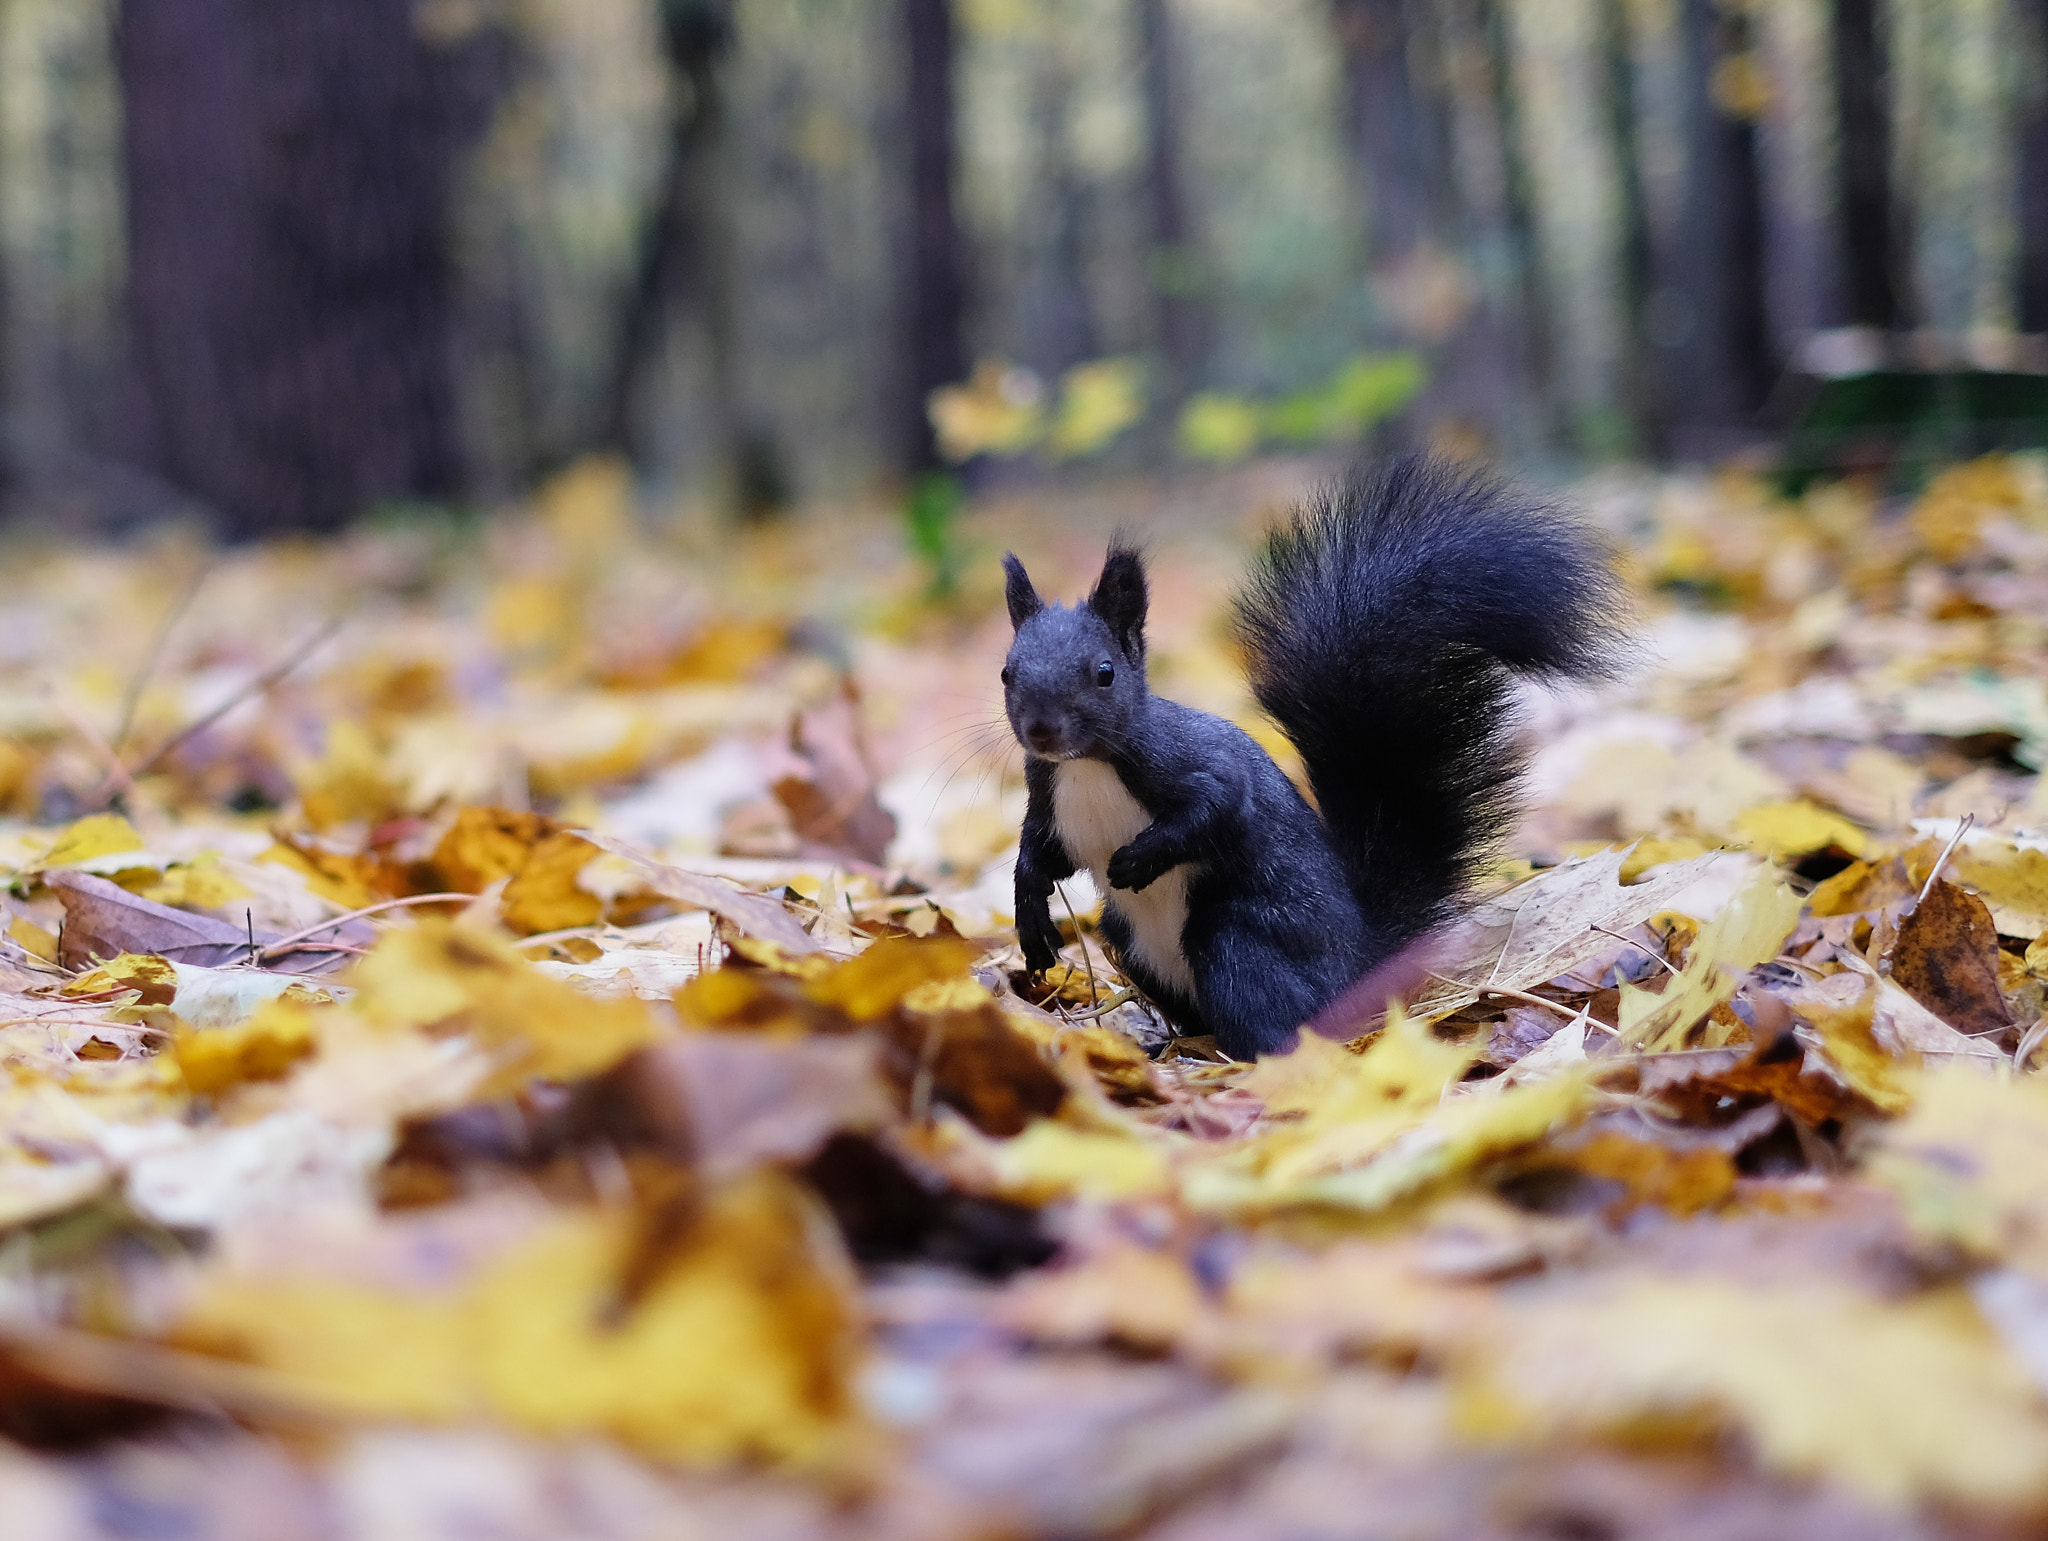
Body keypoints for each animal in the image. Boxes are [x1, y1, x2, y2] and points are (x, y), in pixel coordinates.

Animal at [999, 450, 1622, 1065]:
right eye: (1007, 672)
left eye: (1104, 673)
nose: (1042, 731)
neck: (1085, 766)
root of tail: (1361, 969)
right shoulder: (1047, 795)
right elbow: (1040, 853)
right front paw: (1030, 909)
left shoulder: (1185, 760)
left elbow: (1217, 808)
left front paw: (1136, 860)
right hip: (1132, 944)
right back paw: (1171, 1045)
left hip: (1240, 943)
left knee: (1274, 1024)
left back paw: (1230, 1060)